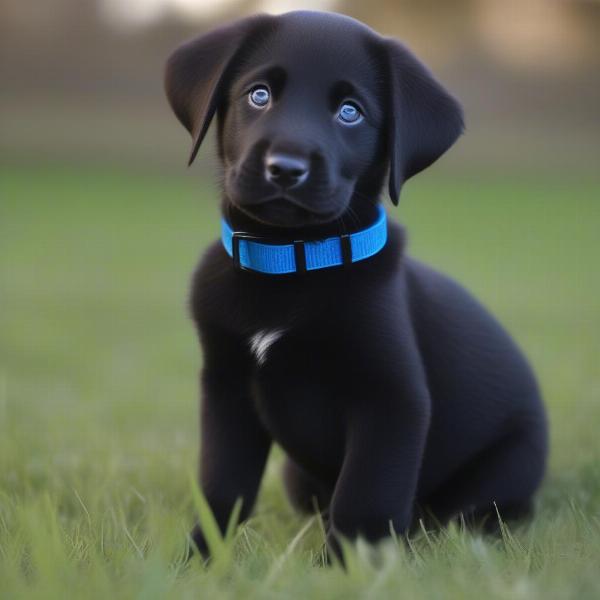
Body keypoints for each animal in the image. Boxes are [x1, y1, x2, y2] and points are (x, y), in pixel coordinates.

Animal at [164, 10, 548, 556]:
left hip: (504, 470)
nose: (286, 168)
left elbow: (366, 498)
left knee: (463, 513)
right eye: (259, 95)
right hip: (295, 477)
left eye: (351, 112)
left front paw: (344, 567)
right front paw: (200, 557)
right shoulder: (225, 387)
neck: (290, 263)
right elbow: (221, 486)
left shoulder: (392, 401)